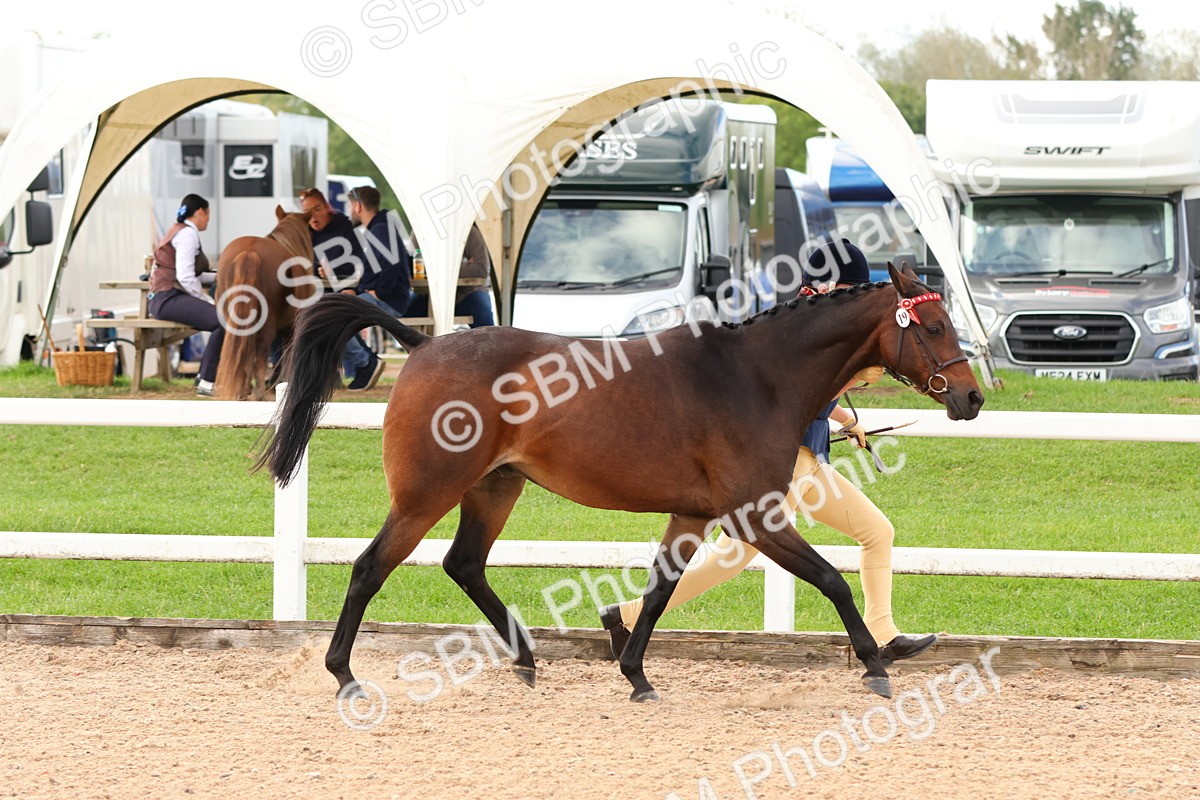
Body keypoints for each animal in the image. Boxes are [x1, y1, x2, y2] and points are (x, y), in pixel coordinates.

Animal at [214, 206, 315, 400]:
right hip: (267, 322)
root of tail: (250, 252)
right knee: (260, 351)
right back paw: (259, 392)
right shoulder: (291, 328)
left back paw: (242, 390)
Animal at [258, 262, 984, 703]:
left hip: (495, 489)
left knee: (463, 565)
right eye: (934, 325)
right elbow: (832, 579)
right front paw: (877, 666)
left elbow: (661, 591)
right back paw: (344, 674)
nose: (973, 399)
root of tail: (424, 345)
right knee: (369, 568)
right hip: (425, 495)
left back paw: (526, 658)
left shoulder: (694, 515)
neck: (756, 376)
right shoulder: (757, 515)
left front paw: (635, 674)